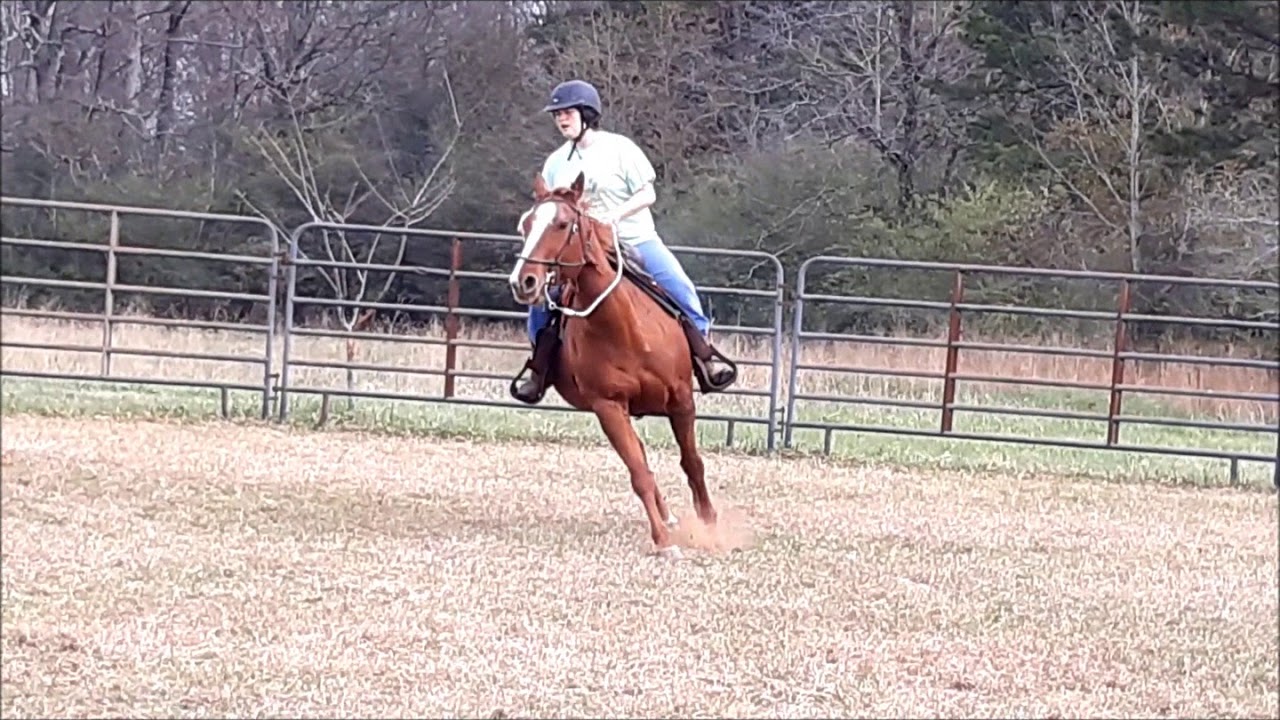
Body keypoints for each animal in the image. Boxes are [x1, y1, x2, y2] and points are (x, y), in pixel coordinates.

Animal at [512, 170, 732, 558]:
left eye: (562, 223)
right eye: (526, 224)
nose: (523, 281)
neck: (624, 329)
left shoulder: (681, 400)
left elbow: (692, 463)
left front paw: (710, 526)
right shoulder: (609, 407)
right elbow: (639, 472)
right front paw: (663, 542)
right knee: (641, 459)